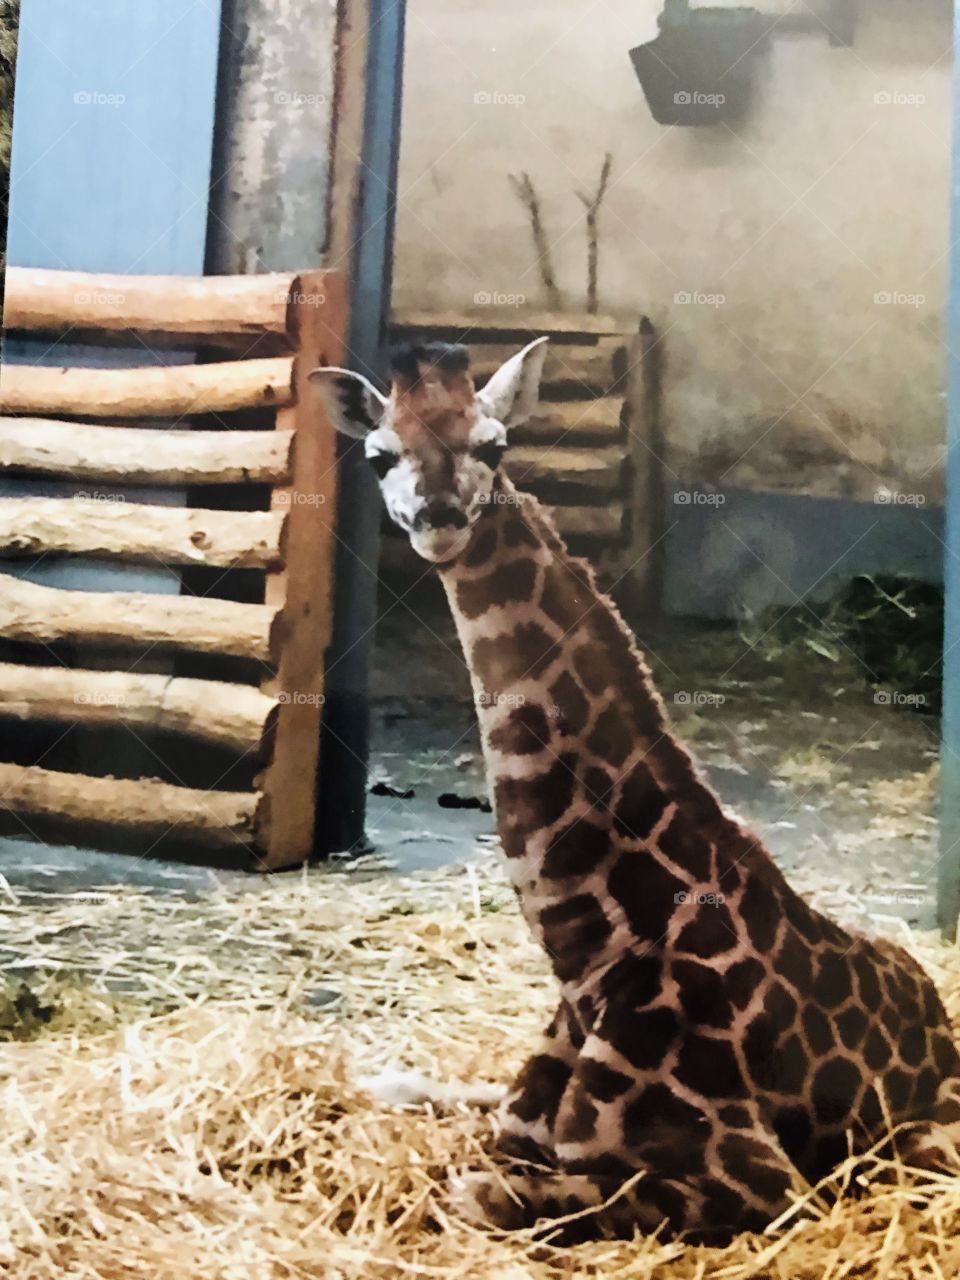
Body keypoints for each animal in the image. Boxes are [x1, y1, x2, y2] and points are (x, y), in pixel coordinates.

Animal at [310, 338, 960, 1242]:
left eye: (494, 445)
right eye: (379, 455)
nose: (439, 517)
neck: (591, 961)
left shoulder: (762, 1184)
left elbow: (486, 1192)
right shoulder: (522, 1119)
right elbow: (496, 1135)